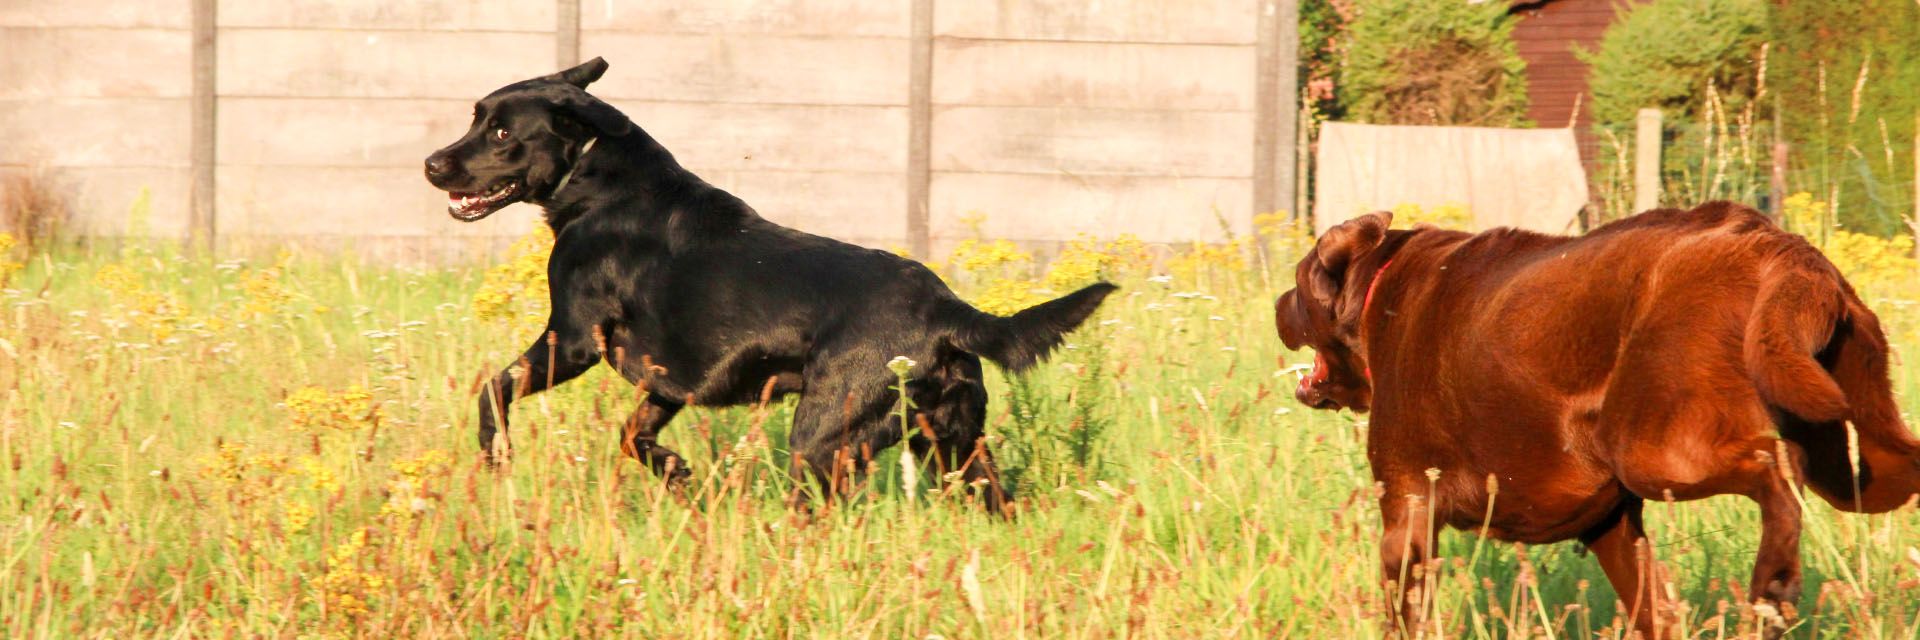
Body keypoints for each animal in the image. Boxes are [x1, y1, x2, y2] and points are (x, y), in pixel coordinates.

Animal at [420, 57, 1113, 511]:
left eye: (501, 132)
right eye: (476, 119)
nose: (431, 164)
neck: (596, 181)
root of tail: (947, 308)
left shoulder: (573, 338)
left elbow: (493, 389)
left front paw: (495, 453)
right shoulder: (665, 379)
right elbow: (634, 435)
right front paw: (677, 476)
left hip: (823, 436)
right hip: (956, 442)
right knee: (995, 499)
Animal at [1274, 201, 1920, 634]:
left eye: (1298, 285)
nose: (1278, 304)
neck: (1378, 291)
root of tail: (1780, 250)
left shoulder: (1407, 512)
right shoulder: (1611, 525)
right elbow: (1653, 608)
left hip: (1653, 446)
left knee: (1775, 469)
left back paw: (1774, 582)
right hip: (1853, 449)